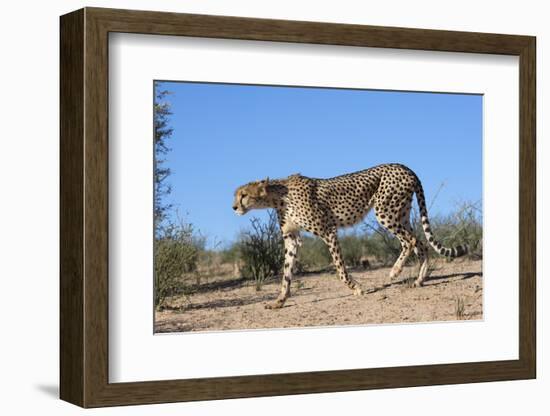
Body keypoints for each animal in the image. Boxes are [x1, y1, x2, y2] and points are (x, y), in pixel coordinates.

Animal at [233, 162, 470, 308]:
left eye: (243, 195)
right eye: (236, 195)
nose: (234, 207)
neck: (277, 196)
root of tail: (404, 166)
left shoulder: (328, 231)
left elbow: (340, 269)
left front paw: (356, 288)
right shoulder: (292, 239)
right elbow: (286, 273)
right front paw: (279, 301)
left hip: (386, 212)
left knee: (411, 241)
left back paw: (395, 271)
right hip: (400, 213)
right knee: (421, 242)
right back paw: (419, 280)